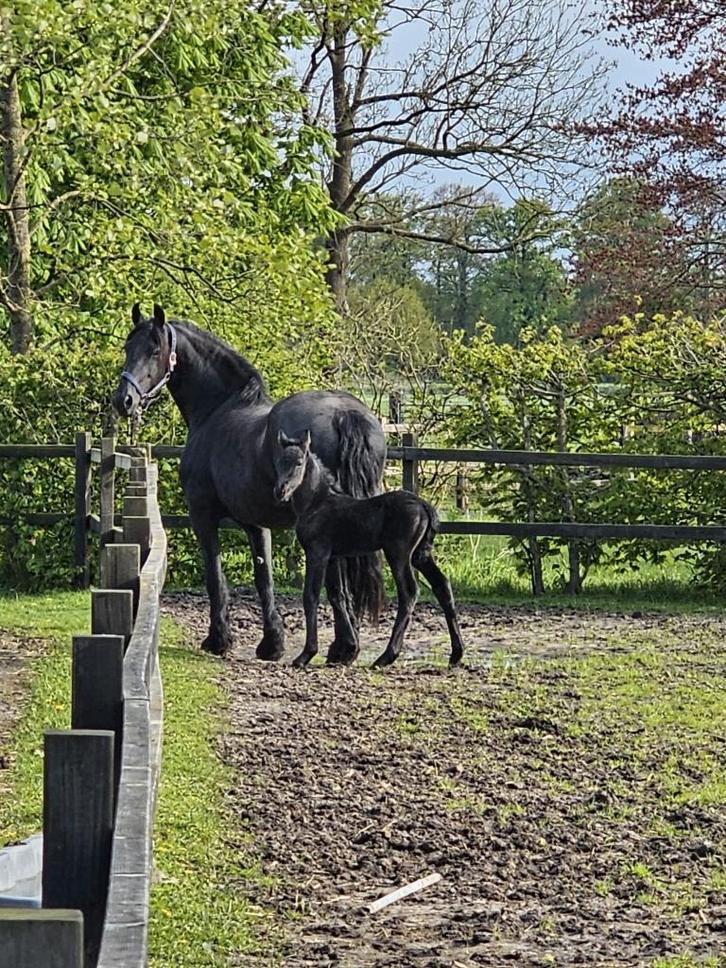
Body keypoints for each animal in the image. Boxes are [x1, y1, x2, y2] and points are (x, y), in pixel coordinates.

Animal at [112, 303, 386, 663]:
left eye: (154, 350)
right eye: (128, 347)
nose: (124, 400)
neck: (217, 410)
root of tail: (343, 414)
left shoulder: (203, 516)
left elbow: (215, 576)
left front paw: (219, 640)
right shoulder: (256, 523)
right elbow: (263, 578)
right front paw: (272, 643)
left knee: (336, 582)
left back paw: (344, 647)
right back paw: (345, 645)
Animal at [273, 429, 465, 669]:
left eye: (299, 463)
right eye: (279, 461)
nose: (280, 491)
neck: (317, 503)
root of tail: (424, 506)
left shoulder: (317, 552)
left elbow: (311, 596)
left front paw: (305, 655)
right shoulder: (333, 557)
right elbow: (338, 595)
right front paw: (349, 648)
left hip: (399, 553)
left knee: (409, 592)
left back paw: (387, 656)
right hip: (421, 555)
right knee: (442, 586)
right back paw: (456, 654)